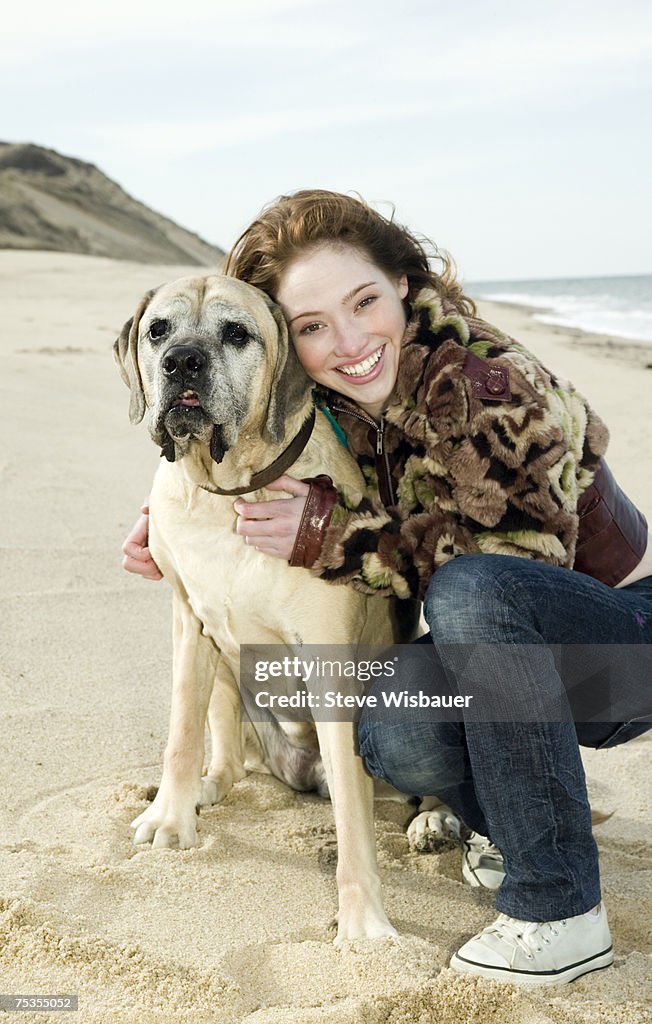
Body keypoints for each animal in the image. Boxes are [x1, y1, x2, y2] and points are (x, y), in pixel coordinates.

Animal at [113, 274, 429, 942]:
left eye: (237, 334)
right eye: (158, 331)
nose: (182, 361)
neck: (231, 488)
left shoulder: (328, 661)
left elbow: (354, 819)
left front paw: (363, 921)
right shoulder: (189, 622)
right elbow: (181, 733)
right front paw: (170, 819)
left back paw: (432, 822)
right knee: (230, 756)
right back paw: (208, 787)